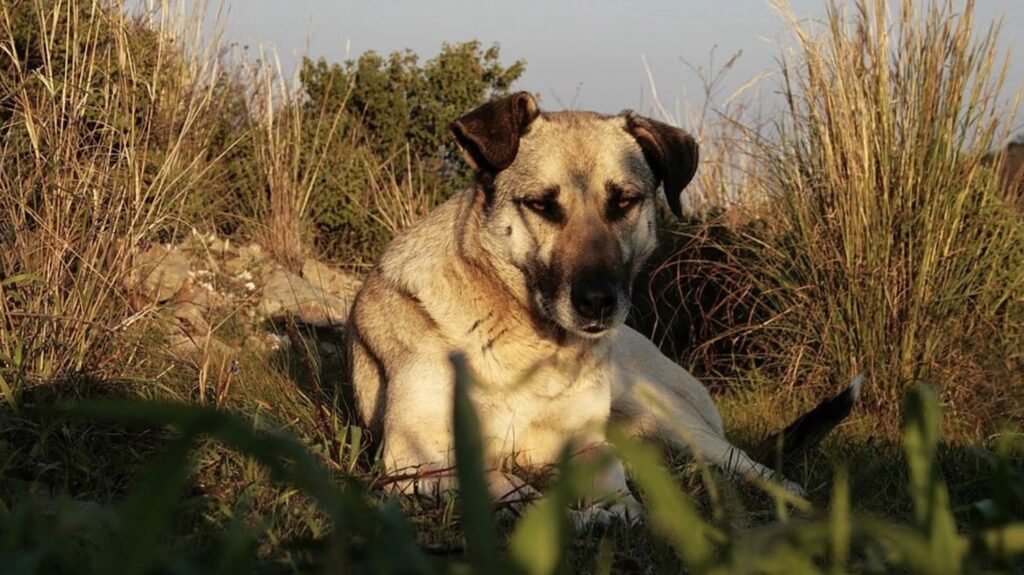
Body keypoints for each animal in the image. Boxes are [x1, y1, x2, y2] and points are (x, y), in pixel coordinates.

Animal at [348, 91, 860, 521]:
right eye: (541, 205)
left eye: (625, 201)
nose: (597, 303)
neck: (527, 342)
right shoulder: (414, 458)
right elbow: (505, 483)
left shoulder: (586, 445)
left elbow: (616, 491)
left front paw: (613, 513)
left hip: (665, 413)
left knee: (745, 460)